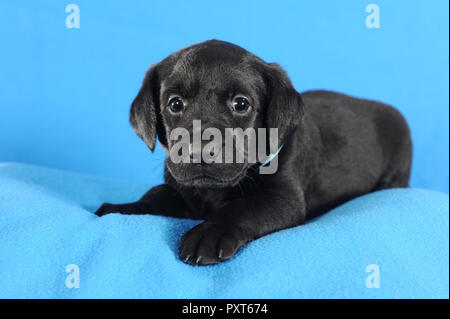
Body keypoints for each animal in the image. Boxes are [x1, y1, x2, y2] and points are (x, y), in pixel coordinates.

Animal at [95, 39, 412, 264]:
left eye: (241, 104)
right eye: (174, 104)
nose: (199, 149)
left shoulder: (283, 199)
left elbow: (243, 207)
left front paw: (210, 233)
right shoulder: (180, 189)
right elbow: (156, 194)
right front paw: (122, 208)